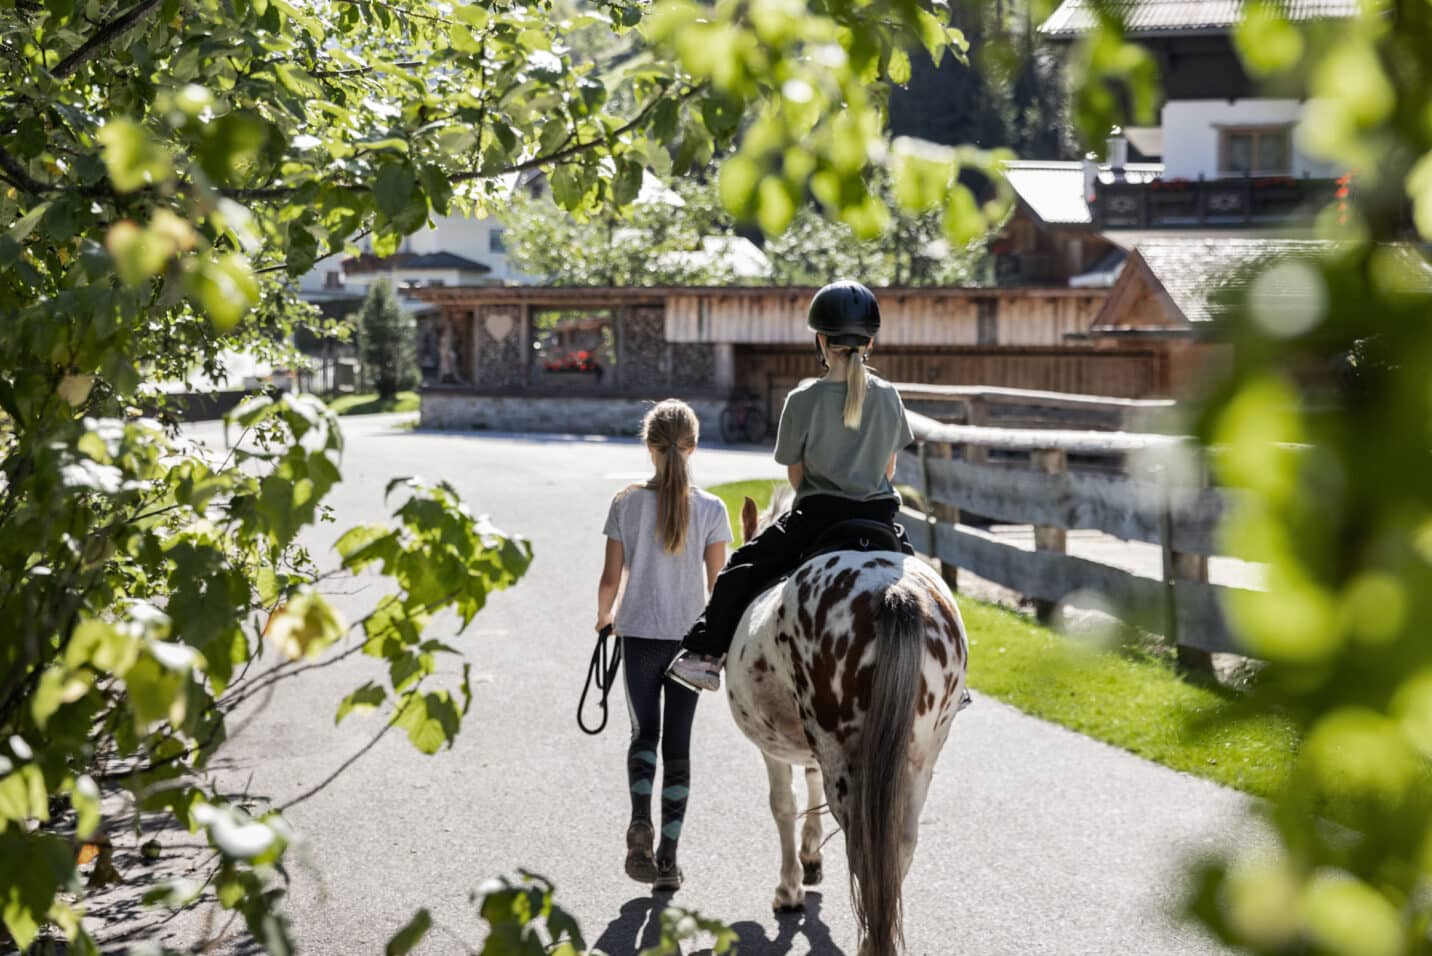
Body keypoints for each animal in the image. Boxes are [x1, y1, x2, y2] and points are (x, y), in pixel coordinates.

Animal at [727, 492, 973, 956]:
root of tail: (893, 590)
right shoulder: (812, 748)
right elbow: (808, 786)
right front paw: (810, 856)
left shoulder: (773, 748)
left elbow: (782, 805)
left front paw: (789, 889)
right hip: (919, 758)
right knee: (899, 844)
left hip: (847, 760)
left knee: (865, 848)